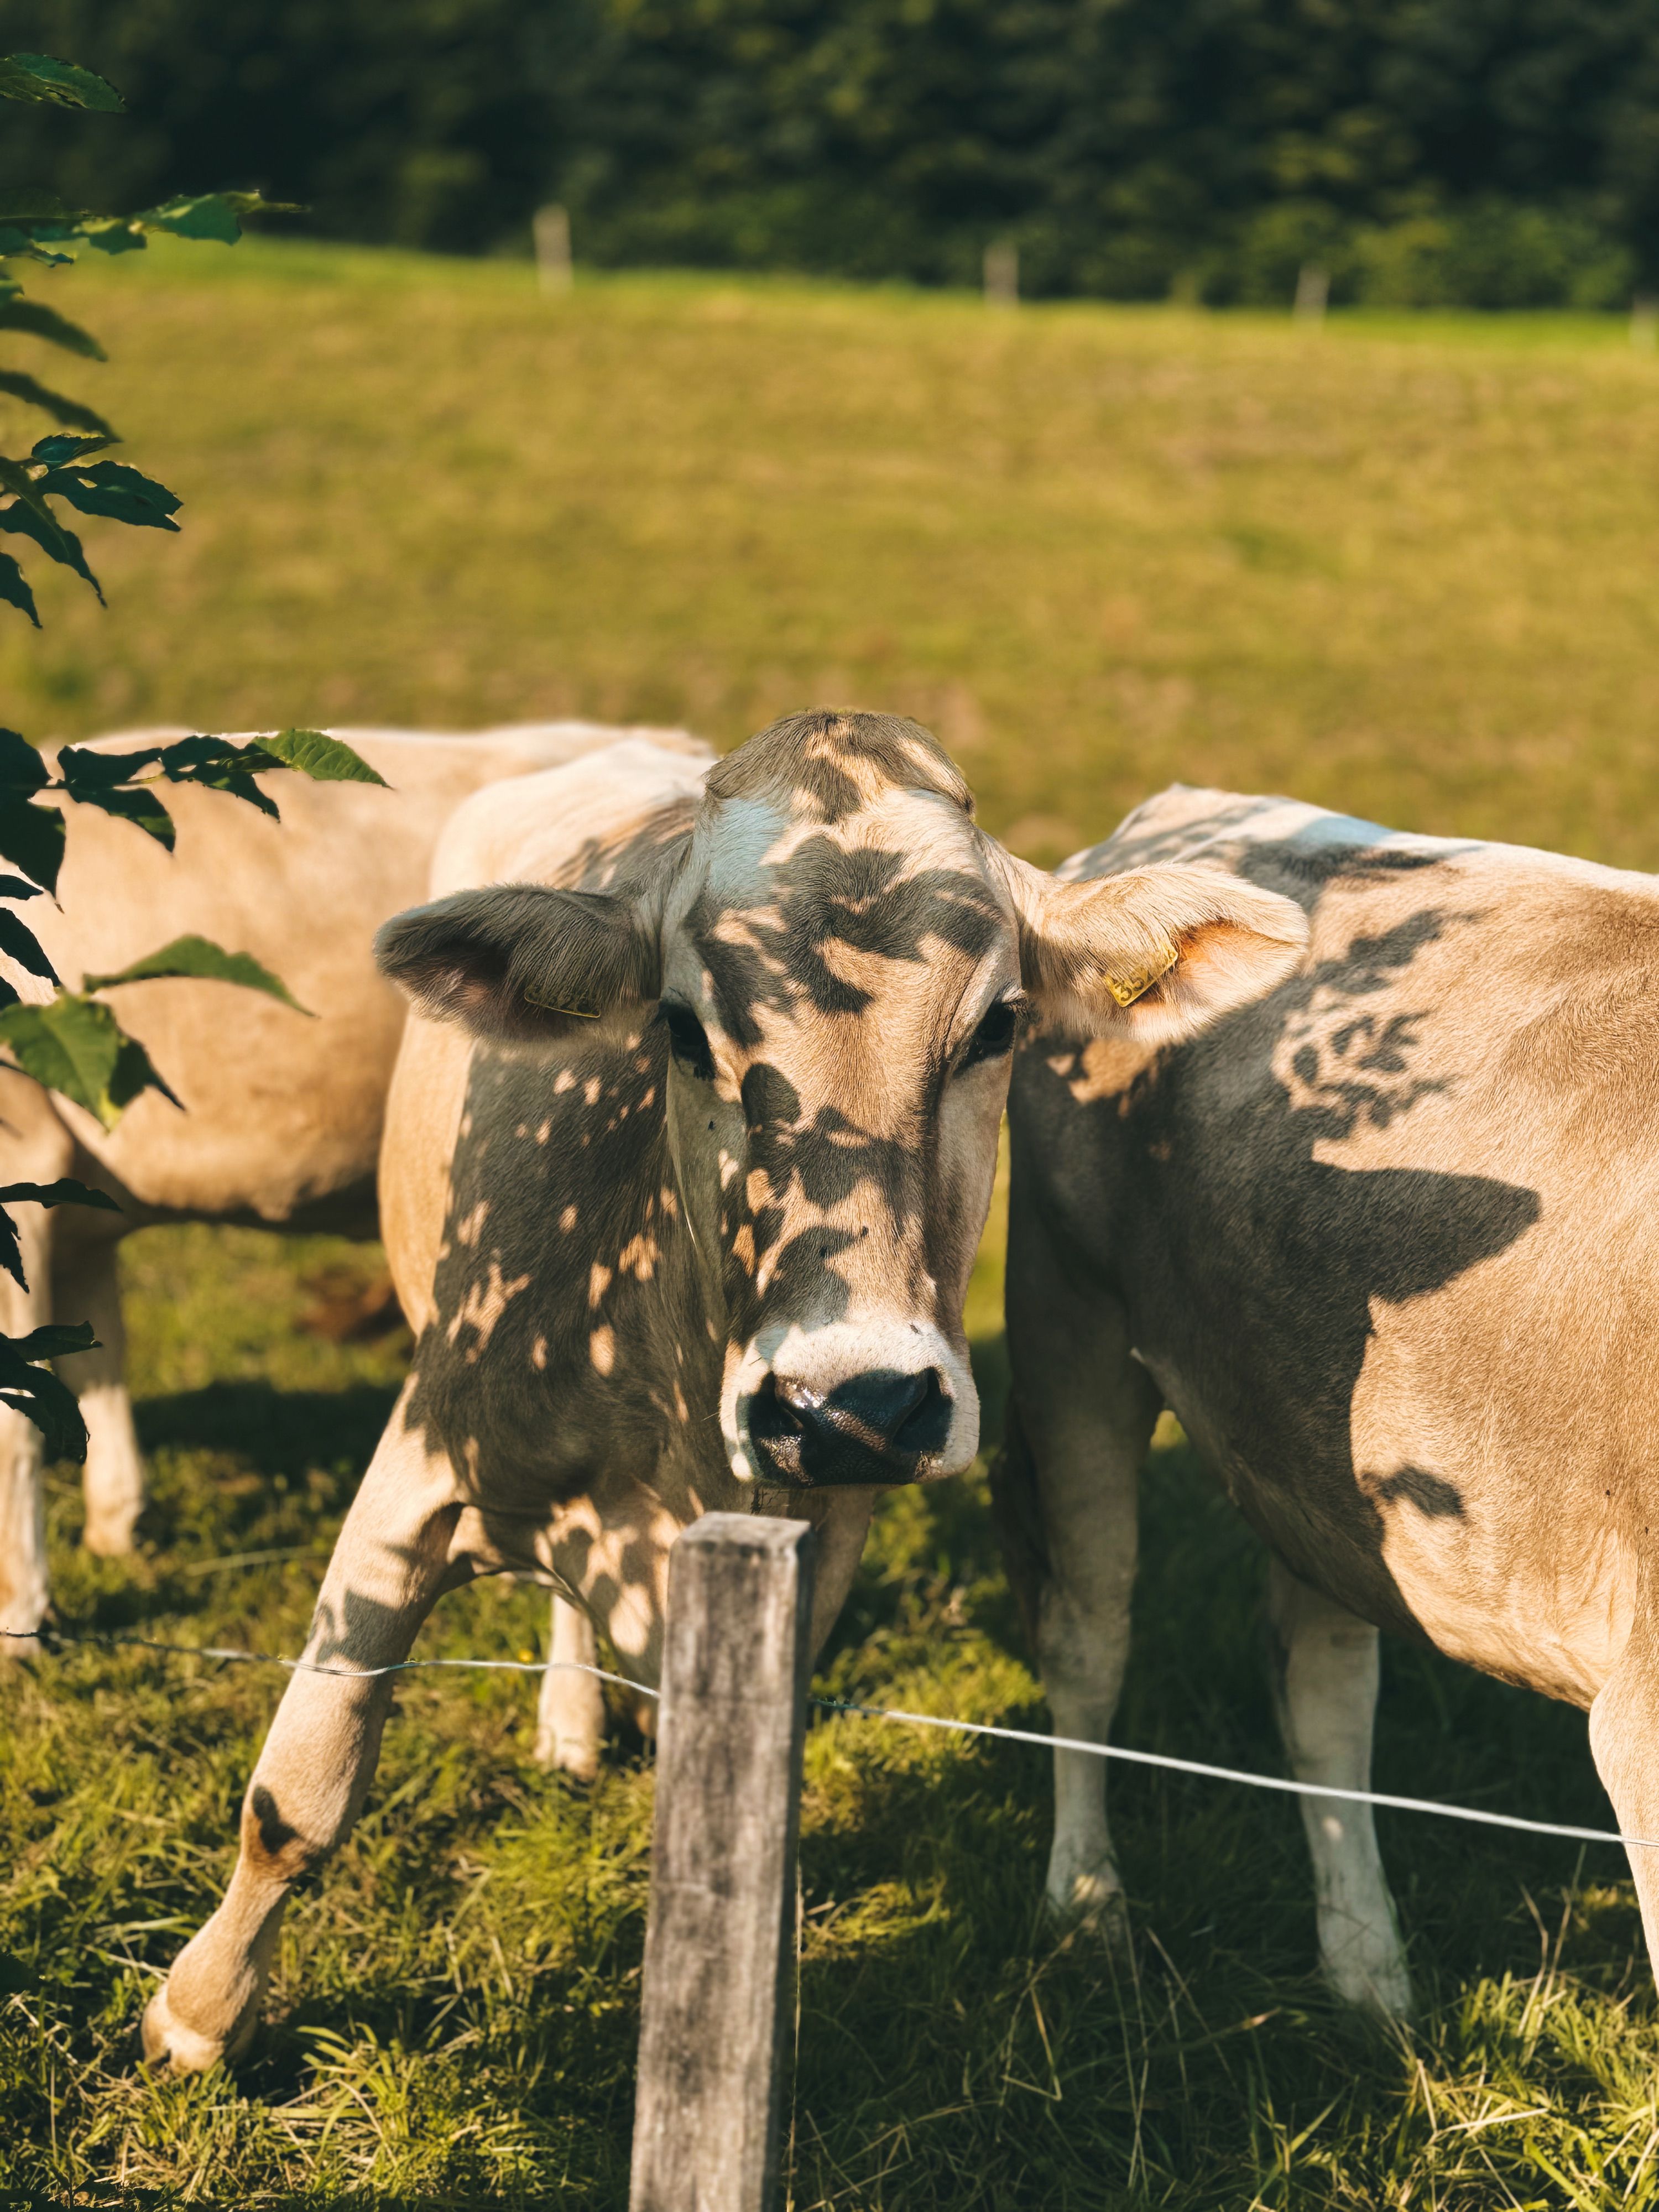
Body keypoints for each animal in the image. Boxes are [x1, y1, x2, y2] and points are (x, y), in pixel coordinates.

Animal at [0, 720, 708, 1651]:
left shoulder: (23, 1150)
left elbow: (16, 1418)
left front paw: (21, 1617)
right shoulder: (80, 1197)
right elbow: (95, 1360)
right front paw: (117, 1529)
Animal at [138, 711, 1308, 2070]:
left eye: (998, 1026)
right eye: (683, 1029)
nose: (855, 1404)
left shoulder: (816, 1533)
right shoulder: (421, 1465)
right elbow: (302, 1785)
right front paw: (201, 2011)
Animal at [994, 780, 1659, 2015]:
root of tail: (1187, 806)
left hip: (1324, 1436)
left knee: (1322, 1679)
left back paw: (1367, 1973)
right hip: (1069, 1321)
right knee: (1089, 1634)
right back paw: (1087, 1905)